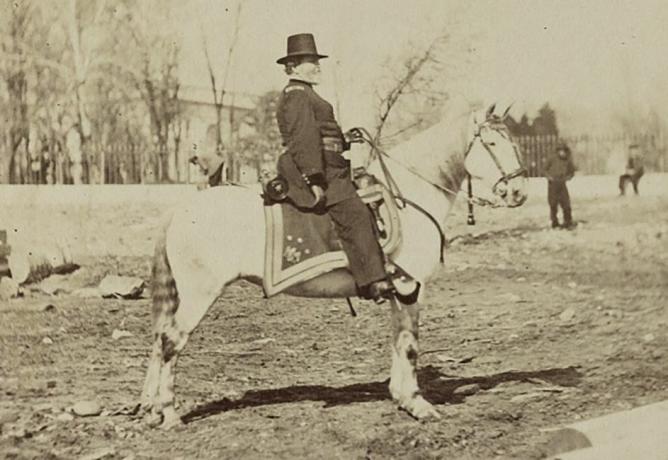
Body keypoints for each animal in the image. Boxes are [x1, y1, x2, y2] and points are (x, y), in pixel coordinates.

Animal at [140, 100, 528, 428]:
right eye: (492, 143)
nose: (519, 191)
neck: (409, 197)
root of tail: (183, 208)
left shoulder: (398, 290)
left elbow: (398, 339)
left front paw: (401, 397)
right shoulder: (411, 287)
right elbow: (409, 344)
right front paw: (419, 405)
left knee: (160, 340)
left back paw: (153, 410)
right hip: (200, 294)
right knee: (171, 341)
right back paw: (170, 414)